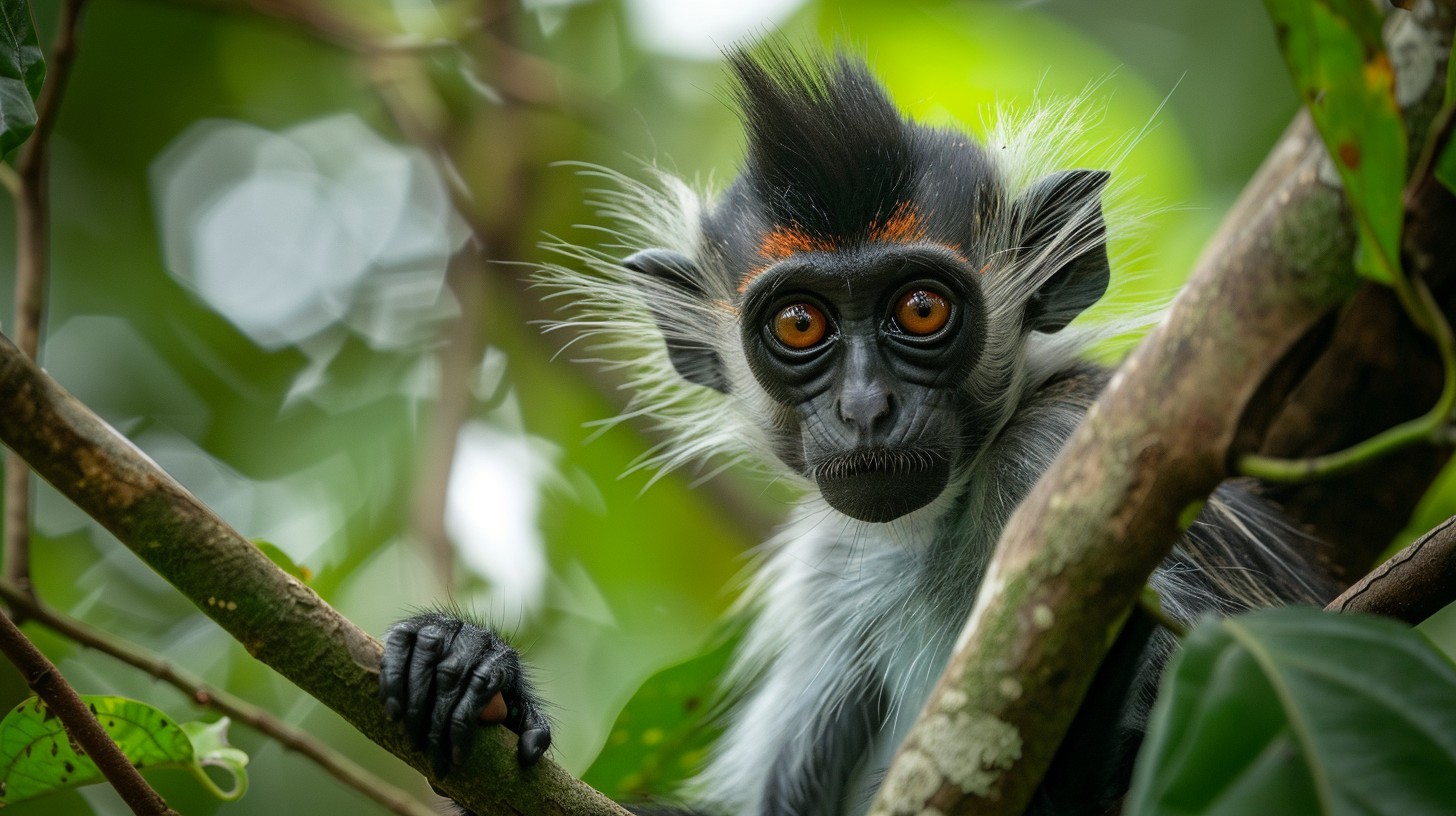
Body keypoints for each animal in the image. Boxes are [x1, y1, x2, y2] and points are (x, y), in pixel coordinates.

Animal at [379, 47, 1334, 816]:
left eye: (921, 309)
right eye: (800, 324)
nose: (866, 406)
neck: (942, 518)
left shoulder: (1072, 444)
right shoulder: (833, 571)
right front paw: (473, 665)